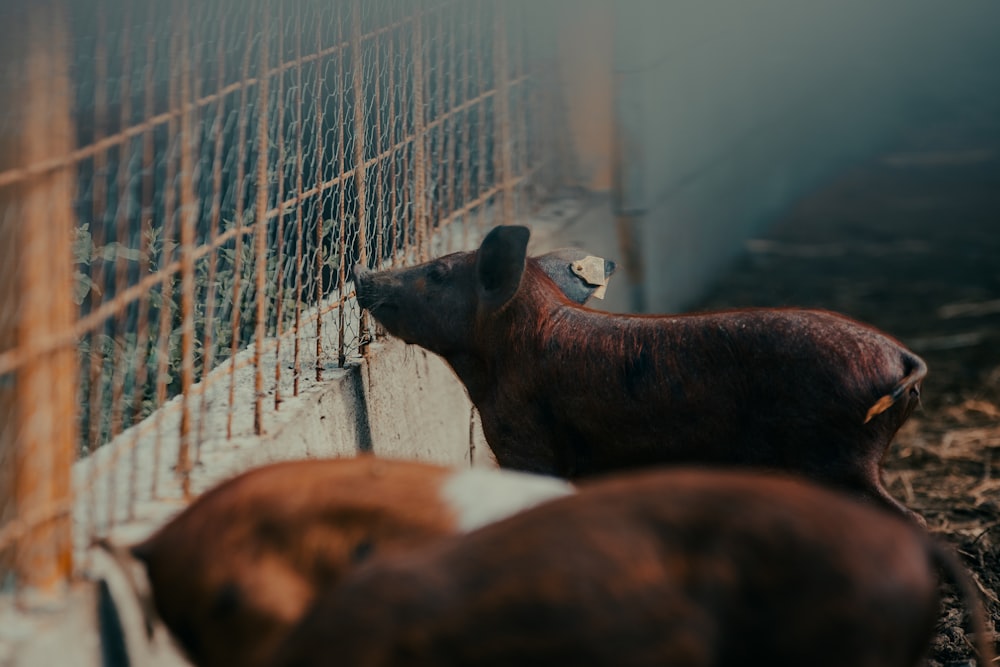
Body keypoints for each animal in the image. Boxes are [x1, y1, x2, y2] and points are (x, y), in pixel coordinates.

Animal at [354, 224, 928, 520]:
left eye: (437, 272)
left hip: (840, 456)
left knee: (911, 519)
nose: (361, 272)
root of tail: (902, 358)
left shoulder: (525, 439)